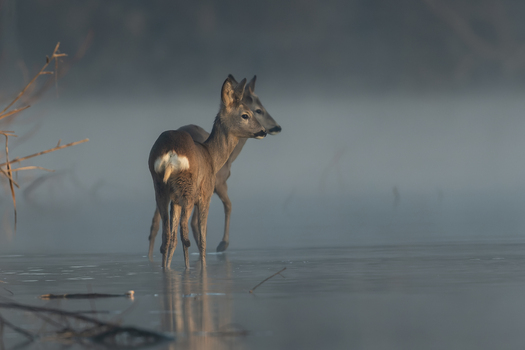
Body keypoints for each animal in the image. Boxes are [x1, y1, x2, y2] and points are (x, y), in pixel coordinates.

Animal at [147, 74, 278, 260]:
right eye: (250, 113)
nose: (265, 130)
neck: (212, 154)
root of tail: (171, 152)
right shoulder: (211, 189)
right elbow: (223, 211)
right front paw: (222, 245)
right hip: (188, 191)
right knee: (185, 231)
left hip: (161, 188)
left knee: (161, 230)